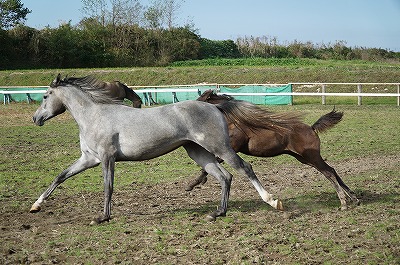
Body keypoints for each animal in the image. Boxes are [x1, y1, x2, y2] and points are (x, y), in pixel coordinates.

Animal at [30, 73, 282, 223]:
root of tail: (215, 107)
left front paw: (102, 217)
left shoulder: (107, 157)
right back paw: (218, 212)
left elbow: (108, 187)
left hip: (219, 147)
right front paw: (36, 205)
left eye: (45, 96)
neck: (94, 116)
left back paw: (272, 201)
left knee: (244, 168)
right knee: (225, 177)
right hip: (199, 152)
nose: (35, 118)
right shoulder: (89, 159)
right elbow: (61, 176)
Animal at [188, 89, 360, 209]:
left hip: (312, 157)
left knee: (329, 172)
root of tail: (311, 128)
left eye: (199, 101)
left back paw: (344, 203)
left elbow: (209, 165)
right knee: (332, 170)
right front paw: (195, 183)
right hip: (305, 159)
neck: (234, 121)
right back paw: (354, 198)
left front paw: (193, 184)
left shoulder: (231, 149)